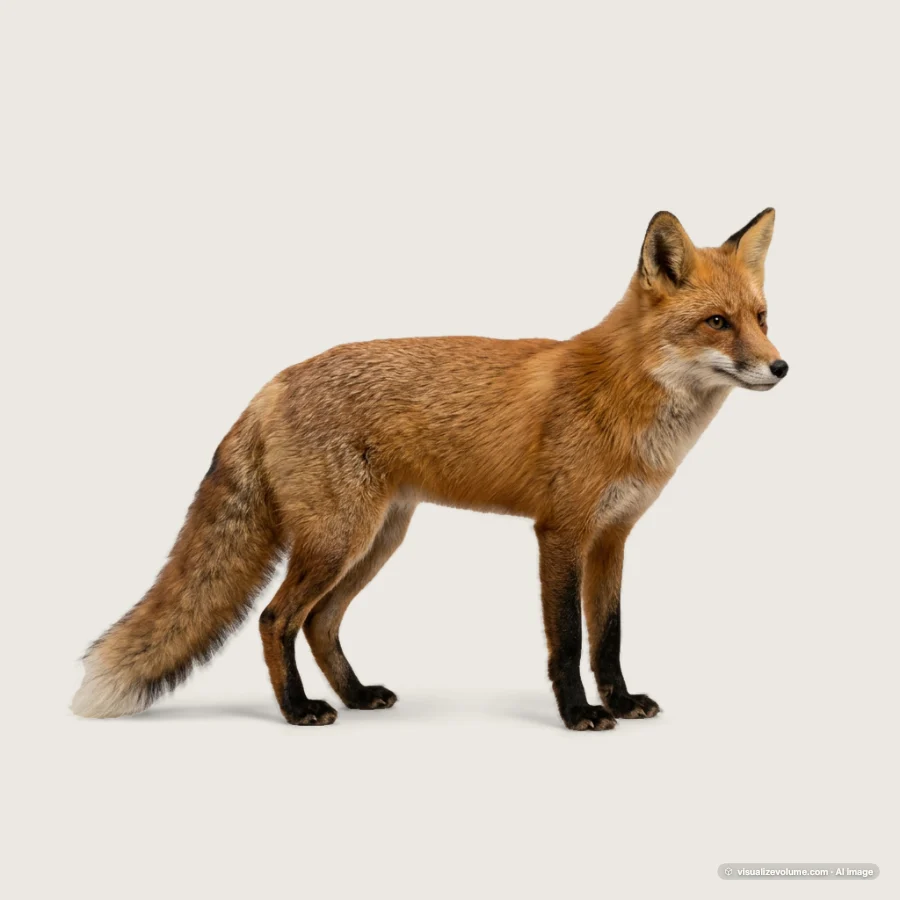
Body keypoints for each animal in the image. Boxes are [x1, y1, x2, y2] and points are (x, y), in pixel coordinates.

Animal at [73, 209, 788, 730]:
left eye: (760, 318)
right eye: (716, 323)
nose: (781, 367)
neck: (624, 397)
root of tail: (276, 382)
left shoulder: (612, 537)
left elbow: (606, 638)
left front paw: (620, 701)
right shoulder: (560, 533)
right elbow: (566, 642)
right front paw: (579, 714)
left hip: (377, 540)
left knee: (321, 624)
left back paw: (357, 695)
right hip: (338, 541)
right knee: (276, 620)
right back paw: (298, 709)